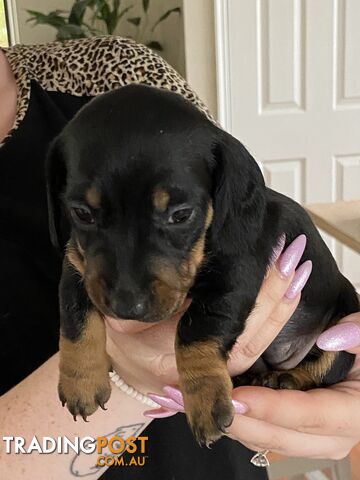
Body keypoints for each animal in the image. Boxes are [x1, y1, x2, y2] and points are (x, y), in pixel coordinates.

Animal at [46, 83, 358, 446]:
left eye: (181, 215)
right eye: (82, 213)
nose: (126, 307)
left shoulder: (234, 278)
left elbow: (195, 330)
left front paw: (205, 395)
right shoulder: (78, 268)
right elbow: (75, 318)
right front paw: (80, 381)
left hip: (340, 325)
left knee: (324, 366)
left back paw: (288, 378)